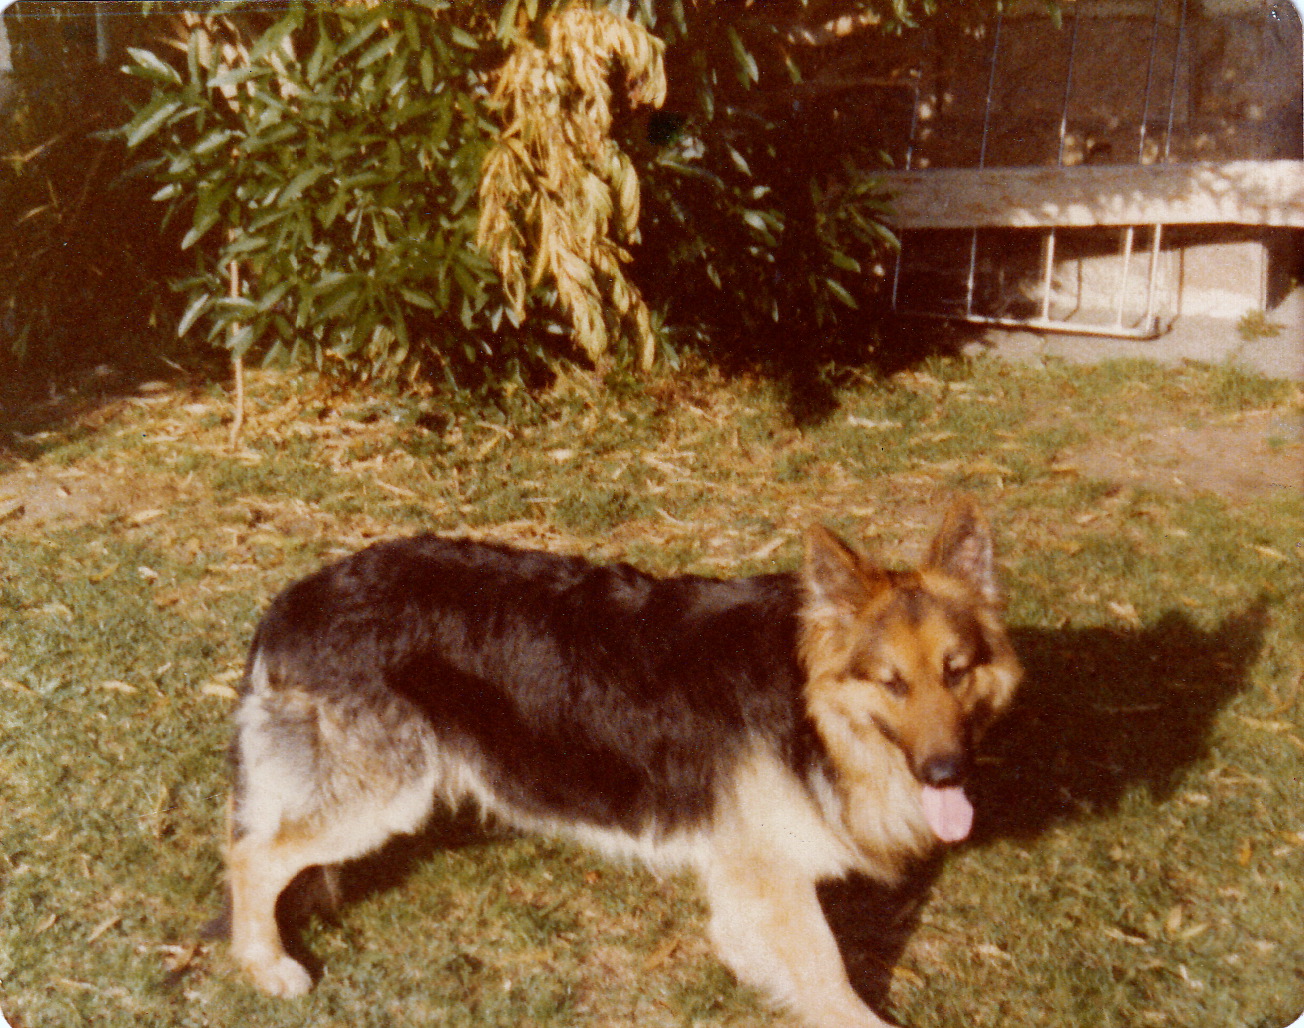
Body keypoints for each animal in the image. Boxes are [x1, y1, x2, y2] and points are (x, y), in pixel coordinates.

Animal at [226, 498, 1021, 1028]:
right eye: (892, 683)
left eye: (956, 671)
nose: (947, 774)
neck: (804, 702)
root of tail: (294, 599)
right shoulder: (772, 874)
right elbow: (831, 979)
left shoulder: (749, 878)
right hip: (378, 797)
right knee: (250, 856)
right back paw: (265, 964)